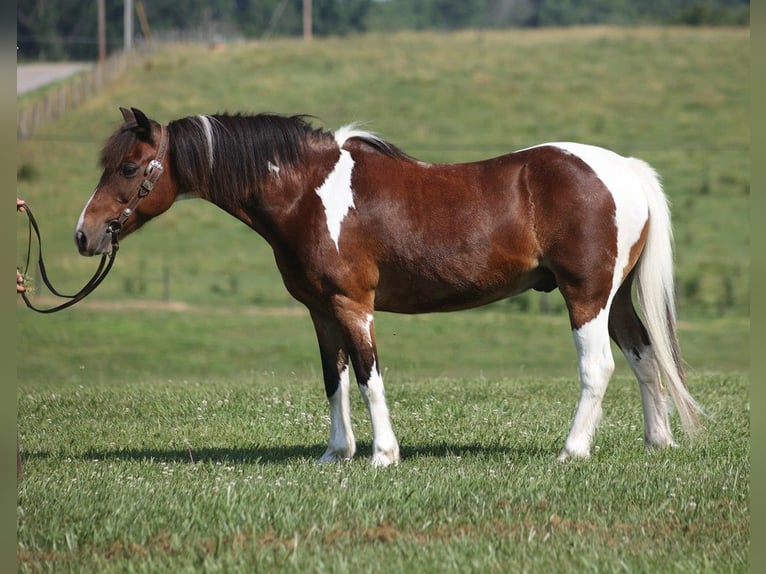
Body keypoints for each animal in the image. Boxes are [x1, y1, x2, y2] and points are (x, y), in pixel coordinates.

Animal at [73, 108, 704, 468]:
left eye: (129, 168)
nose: (84, 234)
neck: (307, 193)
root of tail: (623, 169)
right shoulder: (321, 312)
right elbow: (334, 380)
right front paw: (336, 454)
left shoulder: (354, 306)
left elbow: (369, 378)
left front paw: (382, 456)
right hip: (614, 299)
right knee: (645, 357)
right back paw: (657, 443)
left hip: (586, 297)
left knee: (600, 367)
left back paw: (571, 452)